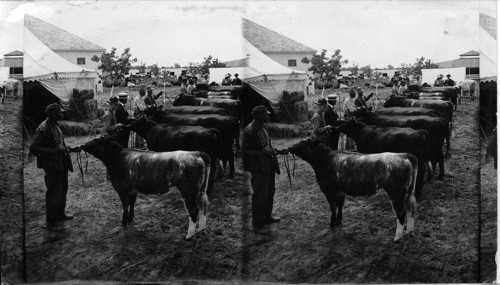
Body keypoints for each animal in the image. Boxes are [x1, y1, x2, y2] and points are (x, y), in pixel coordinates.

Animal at [81, 136, 210, 239]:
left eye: (96, 141)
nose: (83, 145)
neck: (116, 158)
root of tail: (196, 153)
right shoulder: (133, 190)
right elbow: (132, 204)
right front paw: (130, 219)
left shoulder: (122, 189)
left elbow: (125, 206)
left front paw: (124, 222)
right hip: (200, 191)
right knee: (202, 207)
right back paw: (201, 230)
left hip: (188, 191)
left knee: (193, 210)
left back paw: (189, 235)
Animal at [288, 139, 416, 241]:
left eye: (303, 142)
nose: (290, 147)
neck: (324, 160)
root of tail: (404, 155)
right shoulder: (340, 191)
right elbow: (340, 205)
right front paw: (339, 221)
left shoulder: (329, 190)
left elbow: (333, 207)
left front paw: (332, 224)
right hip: (408, 193)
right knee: (410, 209)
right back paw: (409, 232)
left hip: (395, 193)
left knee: (401, 213)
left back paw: (397, 237)